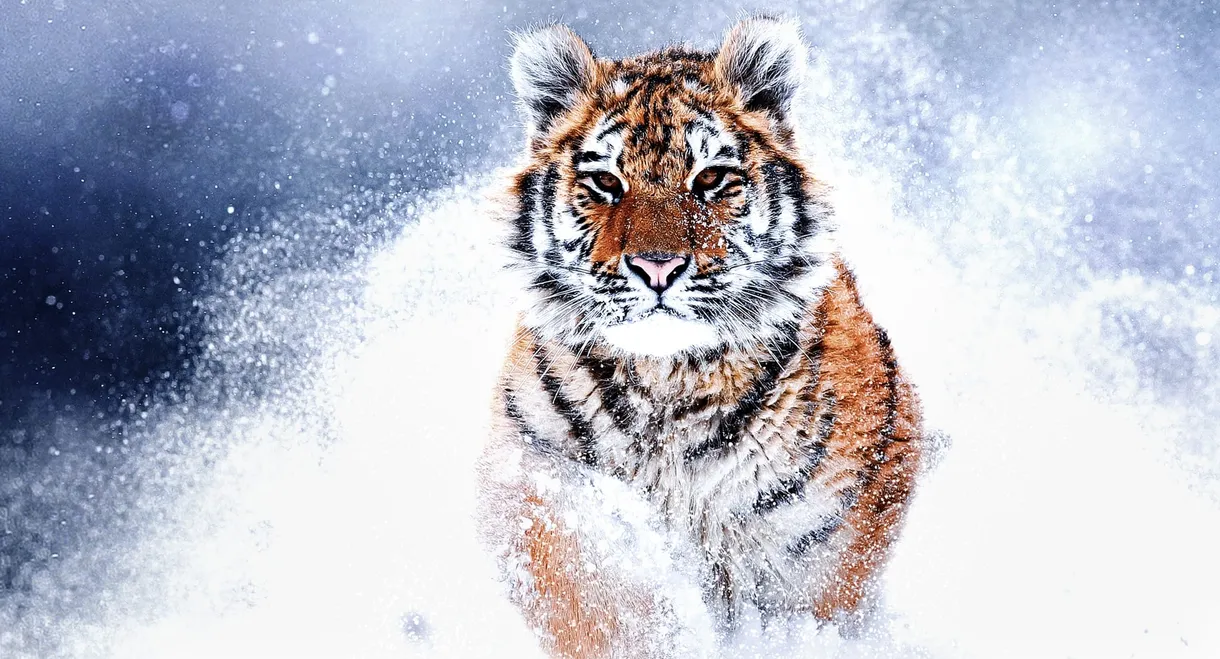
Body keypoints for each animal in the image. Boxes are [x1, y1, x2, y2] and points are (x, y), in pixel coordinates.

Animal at [476, 16, 924, 658]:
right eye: (605, 182)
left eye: (710, 177)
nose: (656, 266)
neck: (668, 382)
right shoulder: (534, 476)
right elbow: (588, 593)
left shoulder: (826, 534)